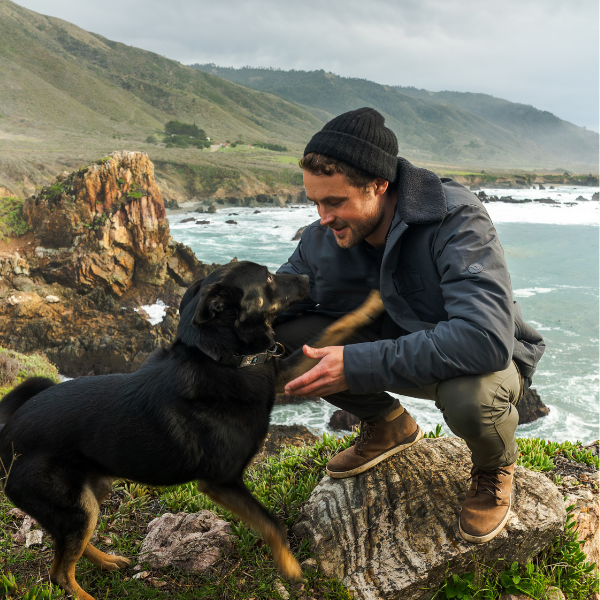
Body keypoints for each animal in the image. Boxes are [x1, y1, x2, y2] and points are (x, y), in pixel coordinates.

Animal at [0, 262, 384, 600]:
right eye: (269, 278)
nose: (308, 278)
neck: (223, 358)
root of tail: (9, 436)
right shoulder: (222, 482)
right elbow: (271, 523)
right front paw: (289, 567)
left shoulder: (281, 372)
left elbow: (331, 331)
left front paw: (373, 302)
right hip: (72, 503)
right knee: (59, 573)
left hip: (92, 492)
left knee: (72, 544)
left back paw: (108, 560)